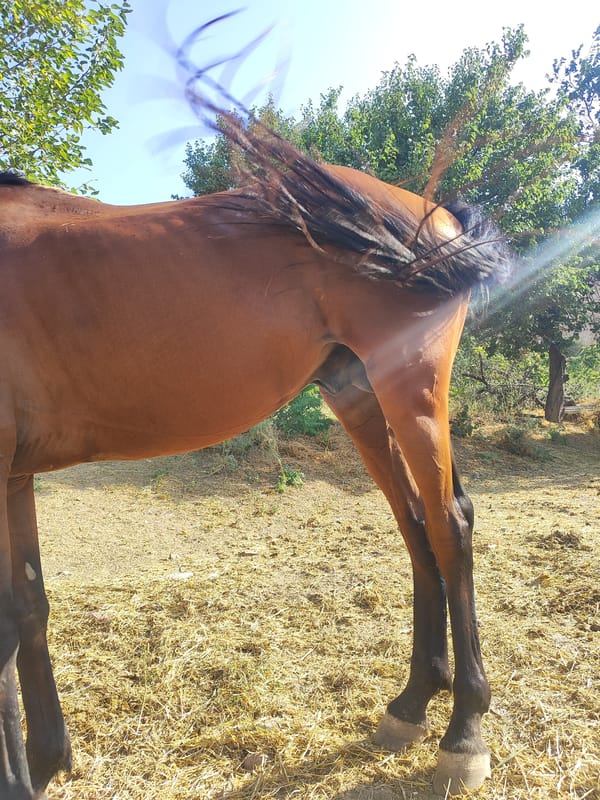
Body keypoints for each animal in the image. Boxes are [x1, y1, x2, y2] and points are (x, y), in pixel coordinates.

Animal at [0, 131, 508, 798]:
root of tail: (436, 213)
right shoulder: (14, 476)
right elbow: (28, 607)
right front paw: (45, 759)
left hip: (412, 392)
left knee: (451, 527)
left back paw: (465, 732)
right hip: (360, 397)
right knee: (418, 525)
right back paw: (412, 703)